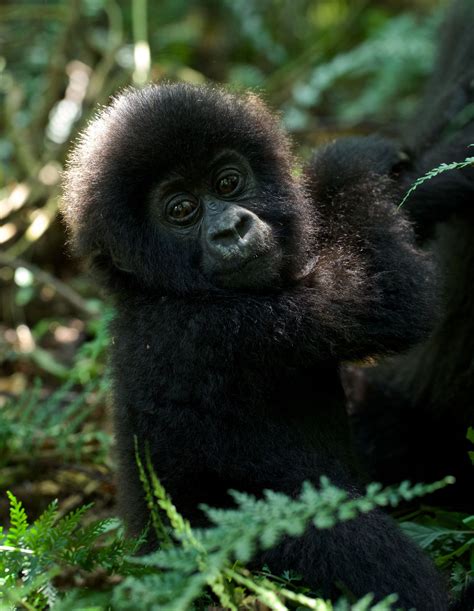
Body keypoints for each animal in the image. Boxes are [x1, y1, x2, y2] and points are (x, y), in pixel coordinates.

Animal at [63, 83, 448, 608]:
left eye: (228, 183)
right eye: (180, 210)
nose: (231, 229)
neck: (153, 292)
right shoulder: (216, 330)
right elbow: (390, 298)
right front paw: (349, 158)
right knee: (354, 541)